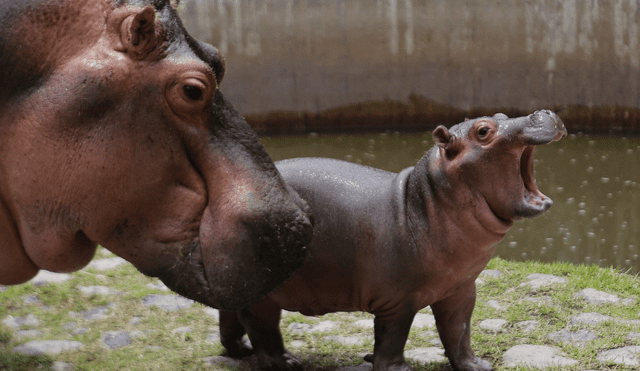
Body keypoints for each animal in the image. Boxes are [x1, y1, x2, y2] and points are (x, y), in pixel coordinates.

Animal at [219, 110, 564, 371]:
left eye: (501, 116)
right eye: (483, 131)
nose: (544, 112)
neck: (425, 202)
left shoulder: (461, 290)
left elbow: (459, 332)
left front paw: (476, 365)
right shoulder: (398, 302)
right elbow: (392, 339)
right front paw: (398, 368)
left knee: (230, 316)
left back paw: (241, 350)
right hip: (263, 294)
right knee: (262, 327)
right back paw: (287, 362)